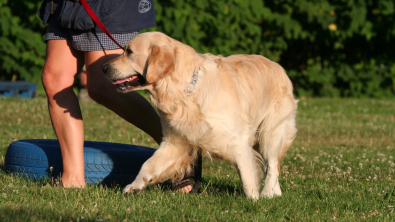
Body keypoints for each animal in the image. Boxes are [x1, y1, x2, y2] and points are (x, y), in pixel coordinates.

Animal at [102, 31, 296, 199]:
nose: (104, 68)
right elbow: (148, 164)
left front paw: (254, 202)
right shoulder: (175, 142)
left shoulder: (238, 141)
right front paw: (134, 186)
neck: (184, 92)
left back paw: (267, 193)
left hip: (270, 132)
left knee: (272, 165)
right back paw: (275, 193)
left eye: (129, 52)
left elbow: (247, 178)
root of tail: (279, 66)